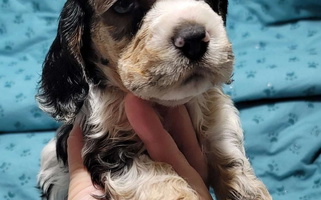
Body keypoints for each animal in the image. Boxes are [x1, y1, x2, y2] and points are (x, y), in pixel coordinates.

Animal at [37, 0, 272, 199]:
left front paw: (250, 191)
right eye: (123, 5)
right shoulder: (109, 145)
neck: (162, 103)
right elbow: (158, 179)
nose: (193, 39)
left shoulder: (216, 113)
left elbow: (227, 149)